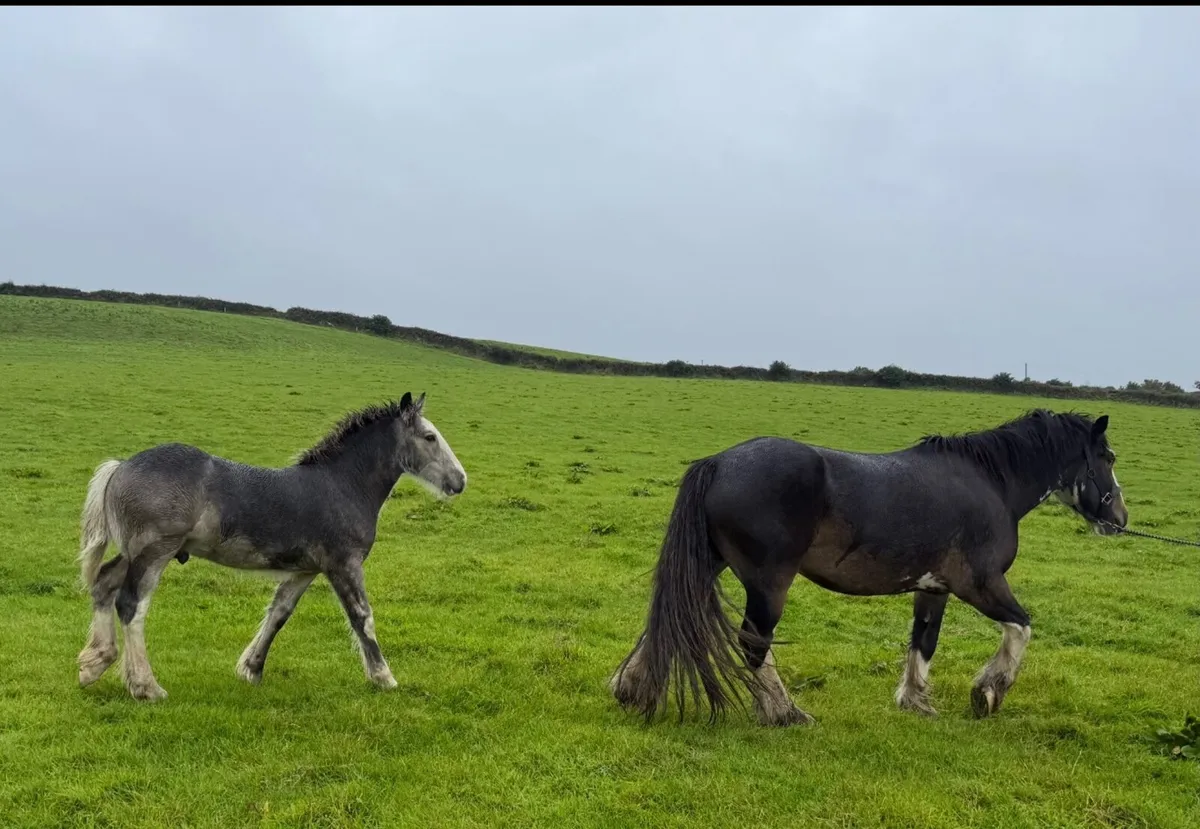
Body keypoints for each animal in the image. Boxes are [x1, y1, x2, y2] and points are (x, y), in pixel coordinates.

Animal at [75, 391, 467, 701]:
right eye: (430, 437)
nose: (459, 481)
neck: (341, 486)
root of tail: (120, 466)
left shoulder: (305, 569)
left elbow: (278, 614)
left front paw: (251, 669)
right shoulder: (344, 564)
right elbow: (362, 617)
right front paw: (384, 678)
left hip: (133, 552)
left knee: (104, 584)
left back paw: (93, 664)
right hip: (156, 551)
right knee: (131, 605)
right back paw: (146, 687)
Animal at [610, 408, 1128, 726]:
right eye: (1107, 457)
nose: (1120, 518)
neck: (989, 483)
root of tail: (717, 463)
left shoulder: (934, 588)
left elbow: (924, 641)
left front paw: (915, 701)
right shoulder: (979, 584)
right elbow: (1021, 627)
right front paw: (987, 693)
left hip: (707, 565)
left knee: (669, 619)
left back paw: (630, 689)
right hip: (768, 584)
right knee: (753, 644)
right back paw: (784, 713)